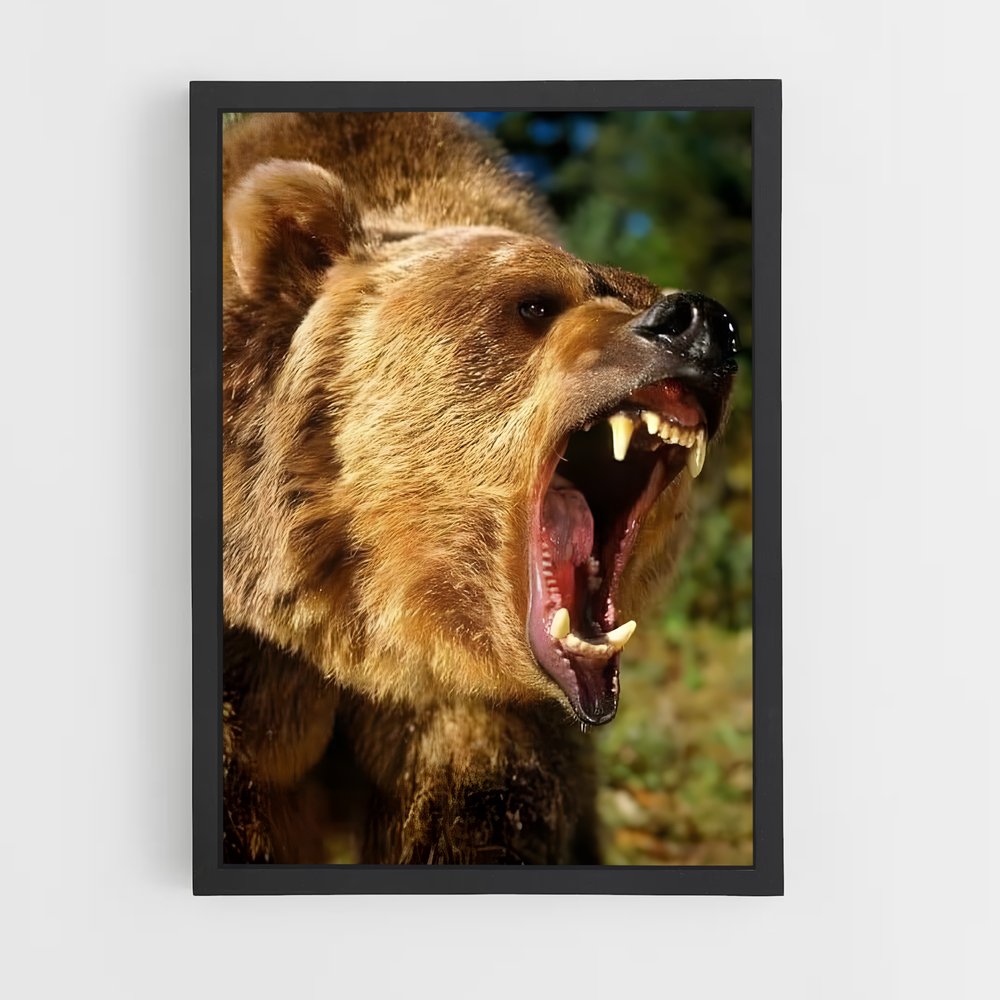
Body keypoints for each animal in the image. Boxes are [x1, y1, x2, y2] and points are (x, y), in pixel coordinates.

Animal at [221, 111, 738, 864]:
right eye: (534, 303)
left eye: (638, 288)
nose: (699, 321)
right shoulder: (254, 661)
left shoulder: (480, 711)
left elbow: (477, 814)